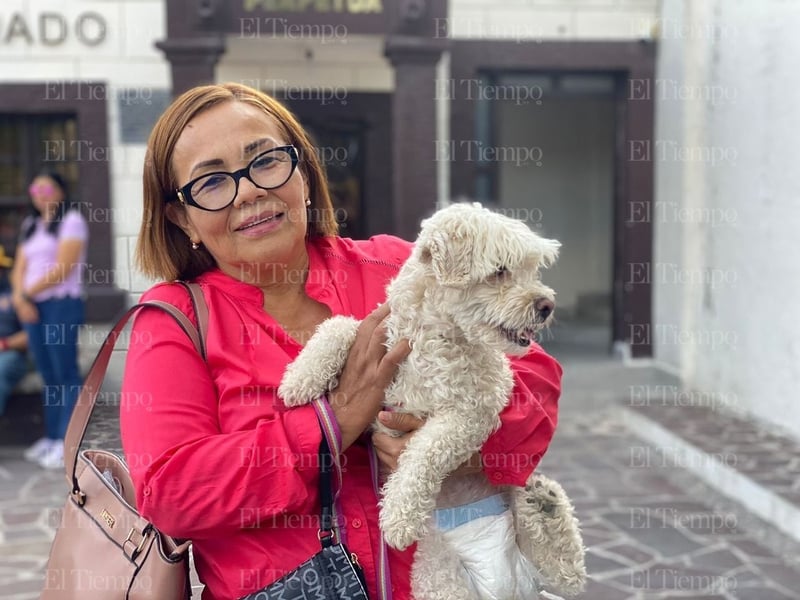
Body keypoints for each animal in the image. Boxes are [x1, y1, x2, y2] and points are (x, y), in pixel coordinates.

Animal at [282, 203, 588, 600]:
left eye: (532, 269)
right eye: (500, 270)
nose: (547, 305)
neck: (434, 335)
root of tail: (508, 583)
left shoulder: (473, 412)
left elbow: (426, 450)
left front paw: (398, 514)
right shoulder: (381, 339)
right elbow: (341, 326)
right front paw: (299, 378)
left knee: (567, 573)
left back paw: (546, 504)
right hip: (438, 572)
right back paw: (542, 504)